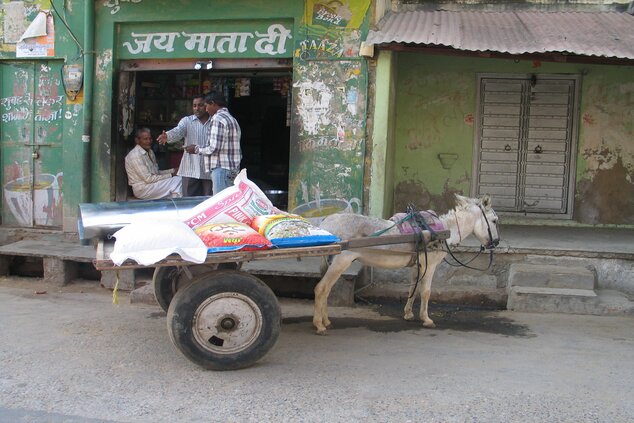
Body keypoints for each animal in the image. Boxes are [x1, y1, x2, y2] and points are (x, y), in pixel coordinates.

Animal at [312, 194, 498, 336]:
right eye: (495, 221)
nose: (496, 243)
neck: (442, 231)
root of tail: (325, 223)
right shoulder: (430, 266)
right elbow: (426, 292)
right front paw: (426, 319)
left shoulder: (418, 266)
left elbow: (412, 290)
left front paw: (408, 314)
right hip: (340, 262)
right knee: (321, 289)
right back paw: (319, 325)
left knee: (326, 290)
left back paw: (326, 321)